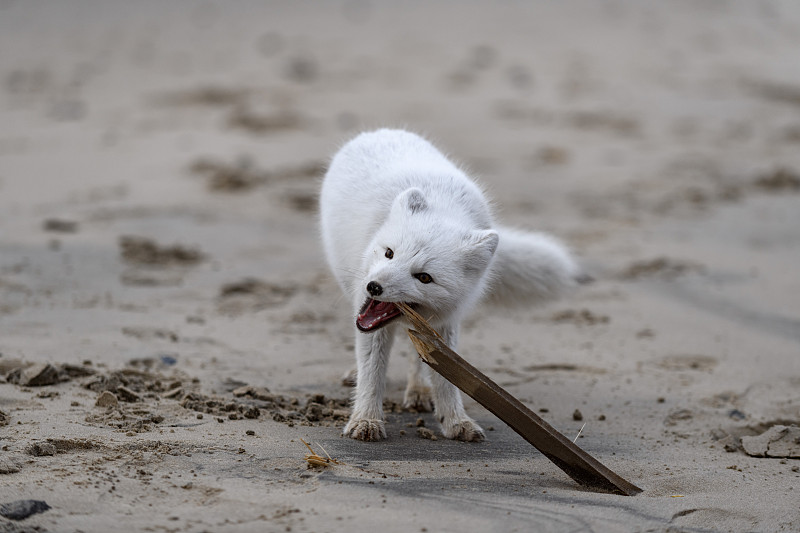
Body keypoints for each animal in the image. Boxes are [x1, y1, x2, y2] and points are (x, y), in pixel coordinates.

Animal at [318, 129, 580, 440]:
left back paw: (419, 390)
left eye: (424, 277)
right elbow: (372, 372)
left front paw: (456, 421)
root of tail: (380, 131)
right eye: (389, 253)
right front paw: (366, 420)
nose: (374, 287)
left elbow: (446, 378)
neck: (444, 210)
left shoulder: (446, 322)